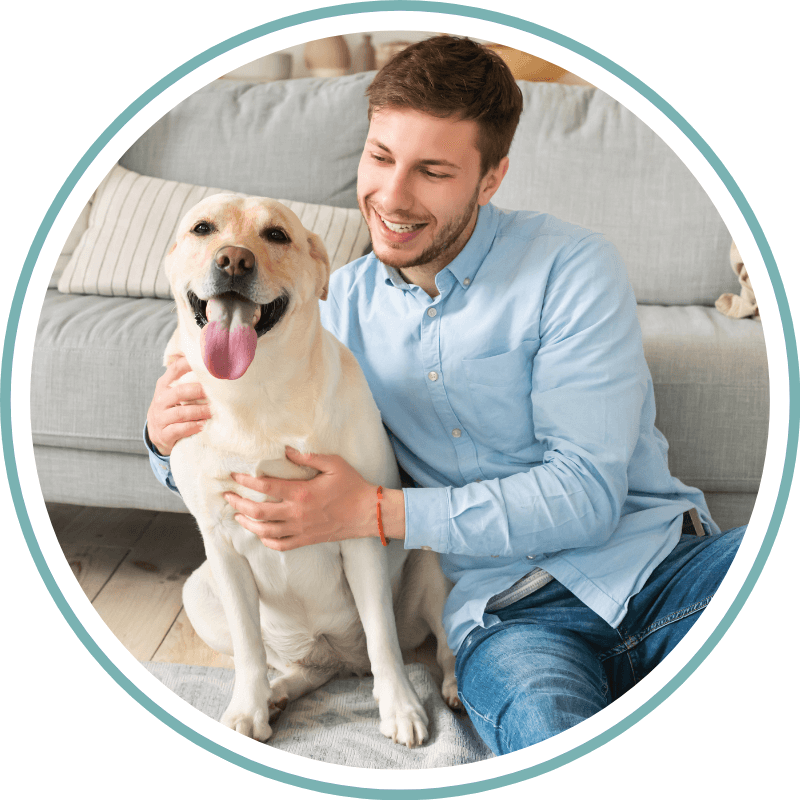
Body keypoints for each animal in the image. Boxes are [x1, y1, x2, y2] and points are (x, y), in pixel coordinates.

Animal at [162, 192, 460, 744]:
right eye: (203, 228)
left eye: (276, 235)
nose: (233, 260)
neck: (254, 388)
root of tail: (343, 661)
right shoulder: (221, 544)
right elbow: (250, 652)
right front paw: (249, 708)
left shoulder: (359, 530)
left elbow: (383, 637)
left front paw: (401, 708)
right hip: (199, 593)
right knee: (295, 666)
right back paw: (278, 693)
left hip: (432, 561)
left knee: (444, 644)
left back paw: (451, 688)